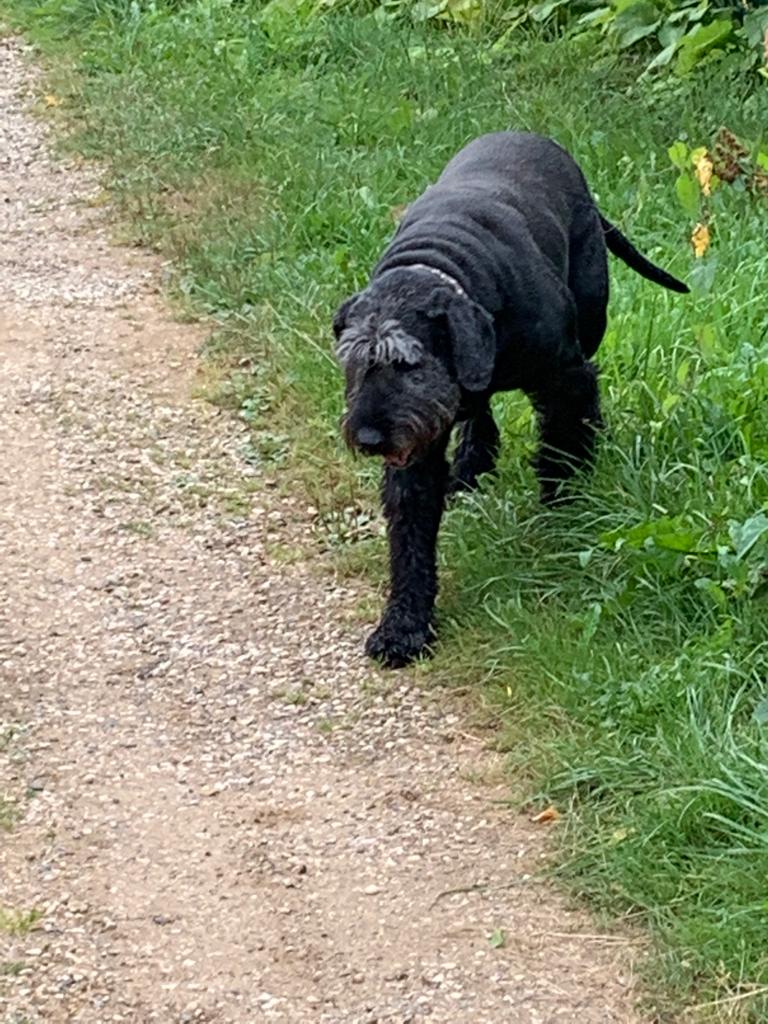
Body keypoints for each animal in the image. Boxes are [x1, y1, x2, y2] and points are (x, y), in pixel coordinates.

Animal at [333, 132, 688, 668]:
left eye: (408, 364)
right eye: (353, 362)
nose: (370, 437)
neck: (445, 268)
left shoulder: (566, 378)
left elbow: (561, 447)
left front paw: (562, 511)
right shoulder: (416, 452)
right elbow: (410, 537)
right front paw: (404, 626)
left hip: (592, 316)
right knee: (478, 412)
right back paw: (470, 465)